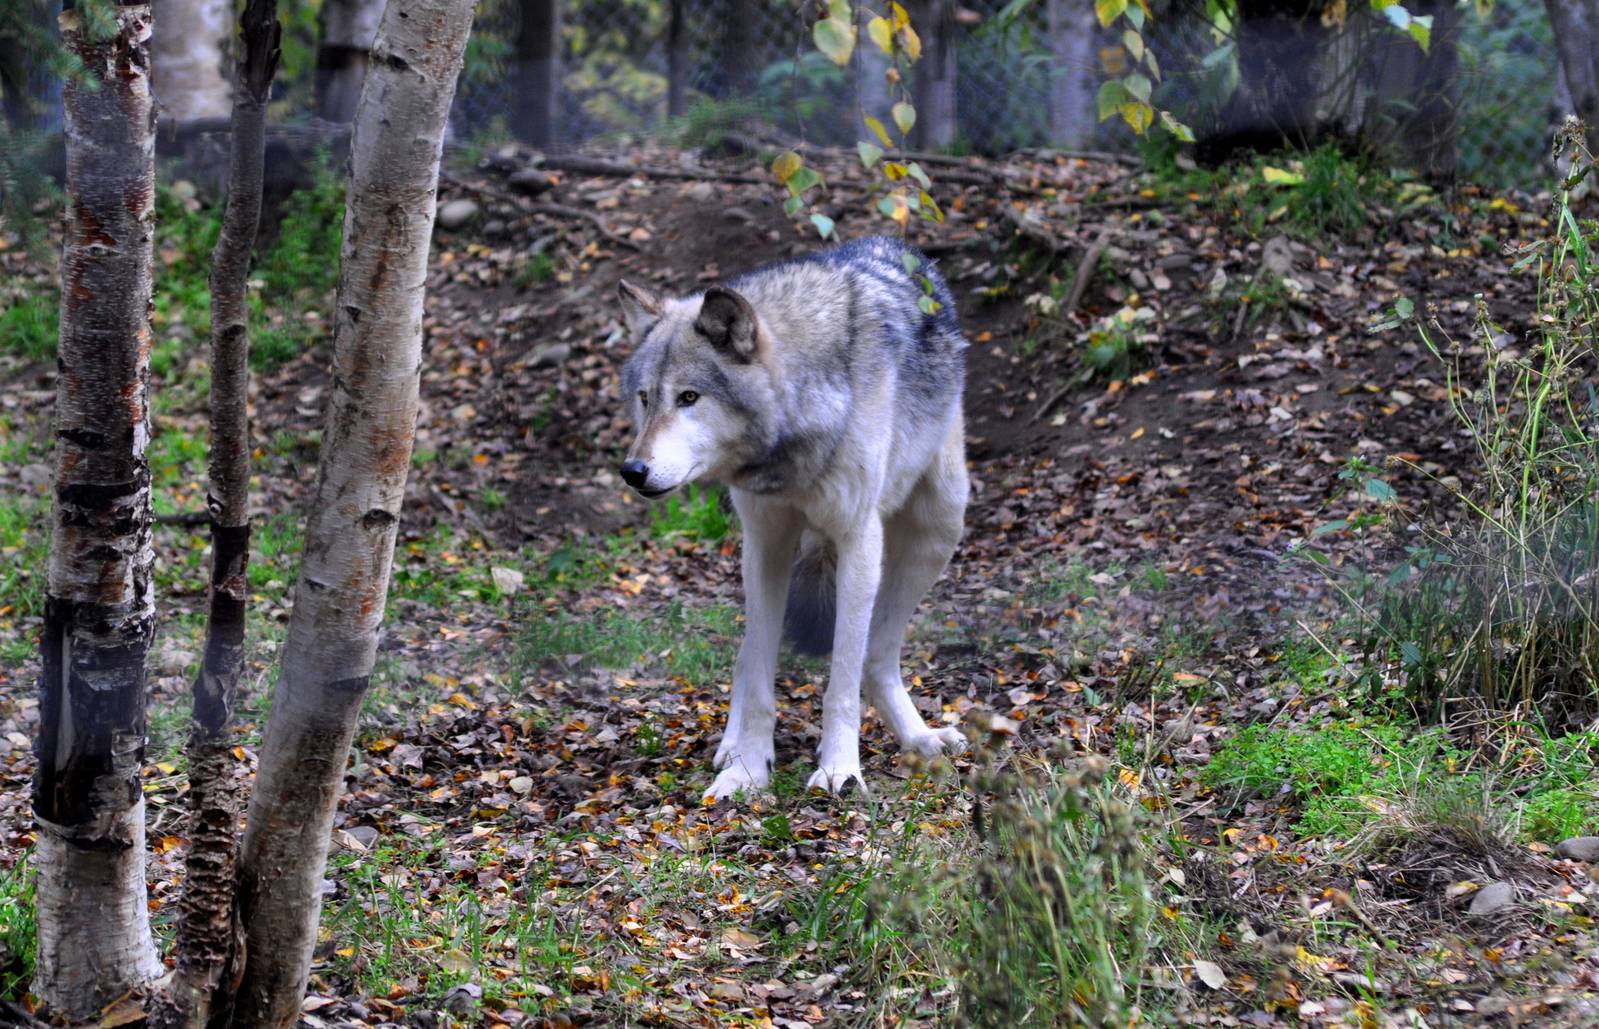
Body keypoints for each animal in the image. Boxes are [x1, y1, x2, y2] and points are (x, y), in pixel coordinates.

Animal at [615, 236, 969, 801]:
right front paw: (746, 770)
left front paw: (840, 769)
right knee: (745, 656)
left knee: (875, 658)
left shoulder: (859, 541)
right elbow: (759, 673)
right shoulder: (766, 544)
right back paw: (730, 746)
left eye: (689, 397)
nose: (633, 470)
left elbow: (842, 680)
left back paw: (919, 738)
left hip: (940, 525)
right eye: (645, 398)